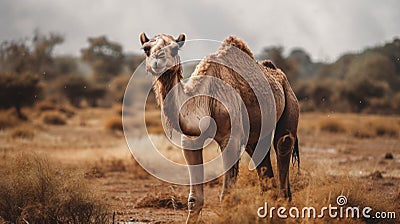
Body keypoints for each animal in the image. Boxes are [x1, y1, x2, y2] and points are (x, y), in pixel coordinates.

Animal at [139, 32, 298, 223]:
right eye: (146, 49)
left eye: (175, 48)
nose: (158, 60)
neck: (206, 99)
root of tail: (279, 75)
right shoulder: (191, 142)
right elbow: (195, 199)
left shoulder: (231, 139)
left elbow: (226, 196)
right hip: (256, 132)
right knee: (261, 159)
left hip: (290, 104)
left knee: (283, 144)